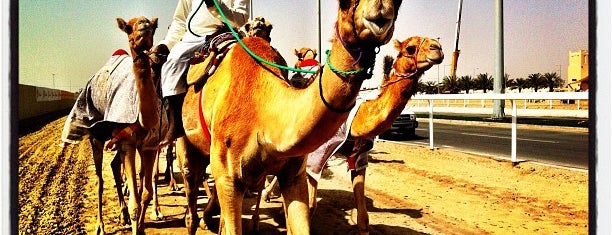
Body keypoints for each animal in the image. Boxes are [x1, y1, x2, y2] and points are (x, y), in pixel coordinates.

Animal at [61, 15, 166, 234]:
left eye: (152, 26)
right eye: (128, 27)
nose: (143, 27)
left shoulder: (150, 146)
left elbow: (145, 193)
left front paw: (142, 226)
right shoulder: (128, 143)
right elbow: (135, 202)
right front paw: (134, 221)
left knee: (114, 165)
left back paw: (122, 215)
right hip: (97, 136)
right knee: (100, 178)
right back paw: (100, 225)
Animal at [176, 0, 406, 234]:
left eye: (398, 4)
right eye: (343, 4)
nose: (379, 12)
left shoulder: (294, 173)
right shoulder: (228, 176)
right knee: (190, 184)